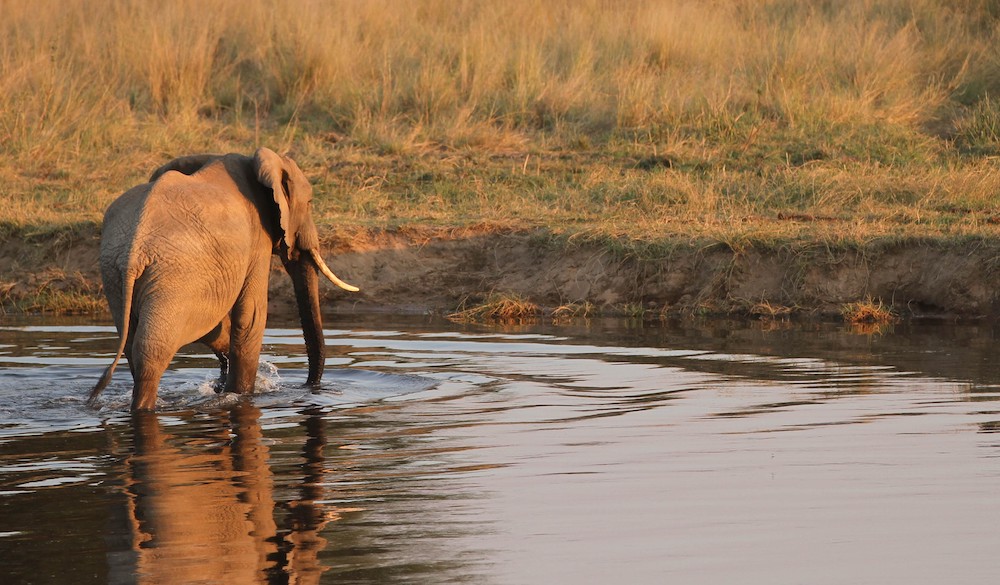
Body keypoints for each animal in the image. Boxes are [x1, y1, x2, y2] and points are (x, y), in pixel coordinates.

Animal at [90, 147, 359, 411]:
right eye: (310, 203)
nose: (309, 387)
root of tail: (134, 248)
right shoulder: (257, 238)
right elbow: (251, 316)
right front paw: (241, 395)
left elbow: (217, 322)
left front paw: (224, 383)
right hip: (173, 275)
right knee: (152, 351)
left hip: (115, 274)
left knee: (134, 342)